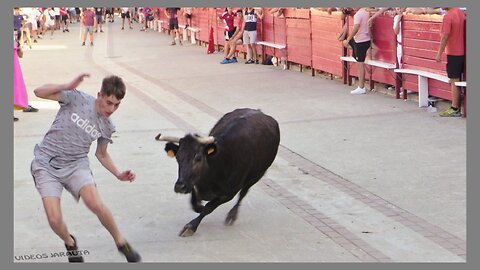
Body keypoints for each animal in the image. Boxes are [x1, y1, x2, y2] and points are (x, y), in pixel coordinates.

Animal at [154, 107, 282, 236]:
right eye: (178, 157)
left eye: (198, 158)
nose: (180, 187)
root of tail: (260, 112)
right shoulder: (194, 184)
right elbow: (194, 204)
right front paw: (199, 206)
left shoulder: (229, 193)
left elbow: (208, 208)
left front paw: (191, 226)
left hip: (257, 174)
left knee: (243, 193)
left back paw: (232, 216)